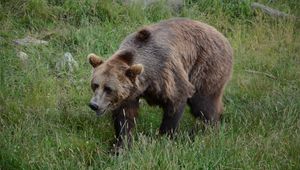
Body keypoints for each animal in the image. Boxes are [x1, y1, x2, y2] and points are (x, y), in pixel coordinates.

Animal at [88, 17, 233, 147]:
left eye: (108, 88)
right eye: (95, 85)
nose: (94, 105)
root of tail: (224, 37)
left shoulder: (166, 73)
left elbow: (176, 101)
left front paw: (164, 138)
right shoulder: (130, 93)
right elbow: (125, 116)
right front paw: (120, 145)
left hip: (206, 65)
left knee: (203, 103)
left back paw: (205, 131)